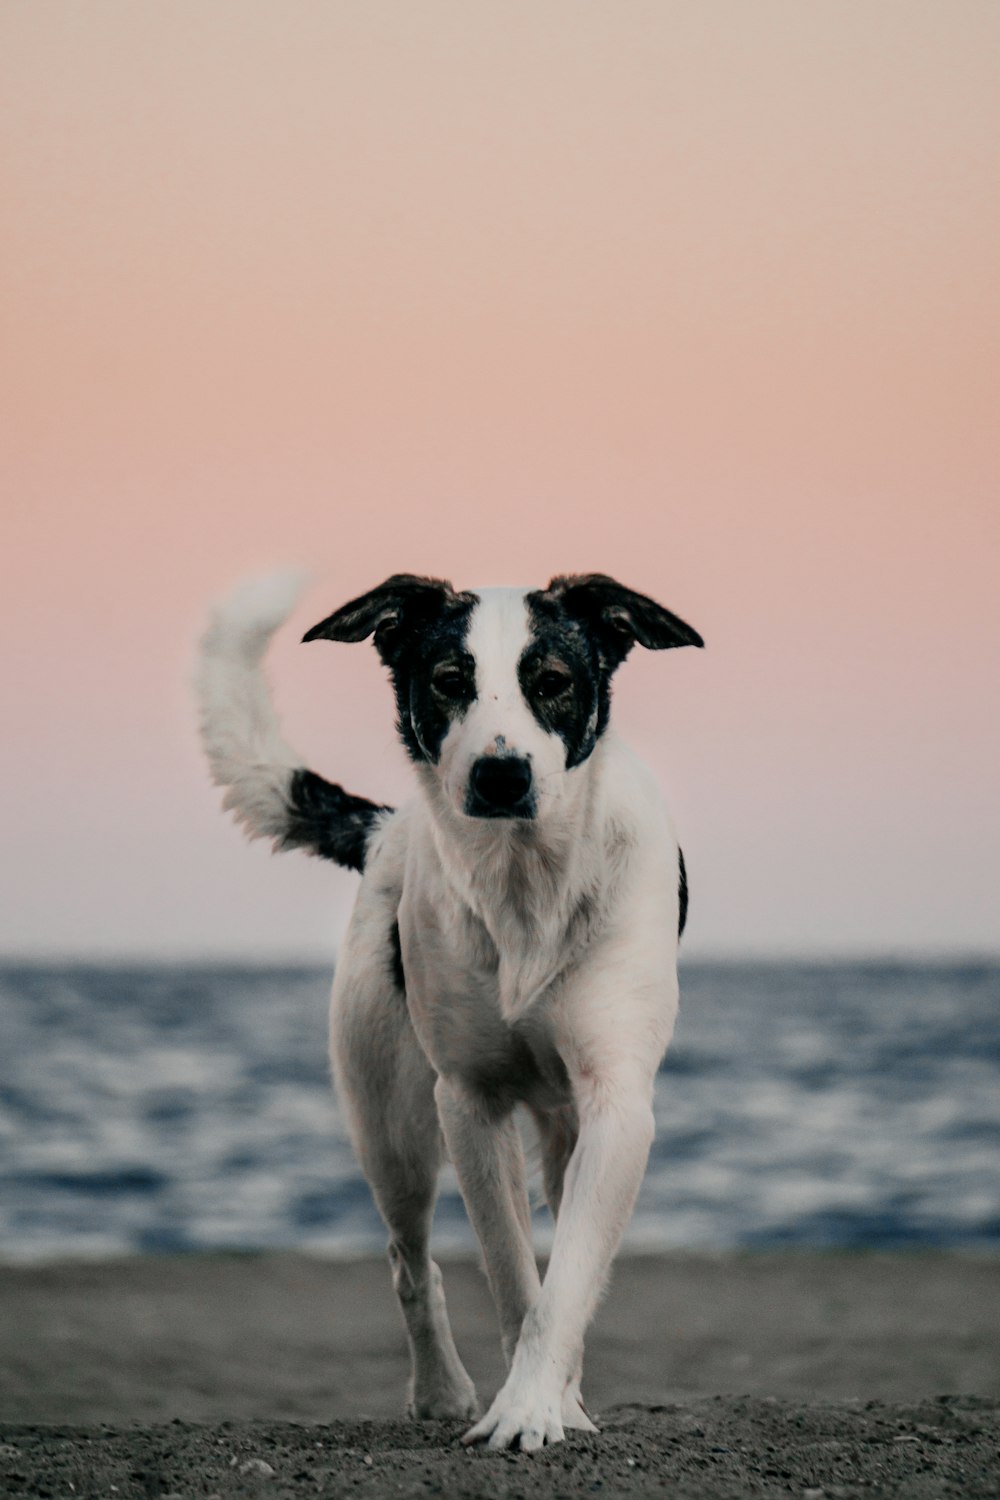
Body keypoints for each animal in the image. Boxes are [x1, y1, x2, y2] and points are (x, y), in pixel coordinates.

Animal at [191, 567, 701, 1446]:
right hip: (387, 1122)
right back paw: (440, 1389)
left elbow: (567, 1281)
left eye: (552, 682)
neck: (525, 884)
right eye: (447, 680)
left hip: (560, 1130)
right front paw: (517, 1404)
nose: (501, 777)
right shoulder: (469, 1102)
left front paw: (536, 1406)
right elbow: (511, 1273)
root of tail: (386, 830)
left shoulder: (616, 1103)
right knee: (409, 1259)